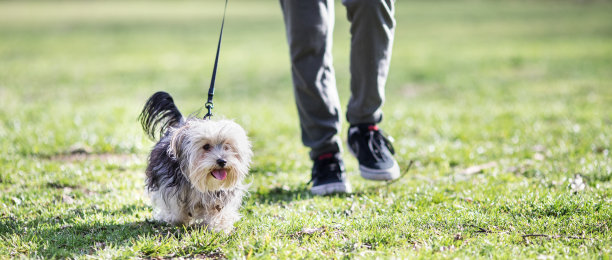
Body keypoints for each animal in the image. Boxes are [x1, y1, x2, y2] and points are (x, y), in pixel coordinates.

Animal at [139, 92, 251, 234]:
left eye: (227, 147)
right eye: (206, 146)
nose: (222, 161)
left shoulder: (221, 195)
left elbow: (220, 211)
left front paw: (220, 227)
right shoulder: (169, 187)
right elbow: (176, 210)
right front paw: (179, 219)